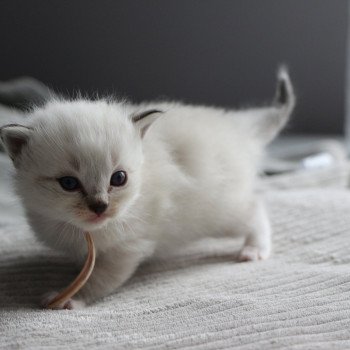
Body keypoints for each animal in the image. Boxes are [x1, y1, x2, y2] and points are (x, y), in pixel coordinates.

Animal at [0, 68, 296, 308]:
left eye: (118, 178)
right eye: (69, 184)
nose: (100, 207)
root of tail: (239, 127)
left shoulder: (128, 247)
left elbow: (99, 279)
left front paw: (71, 298)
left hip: (219, 211)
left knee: (255, 209)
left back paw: (255, 249)